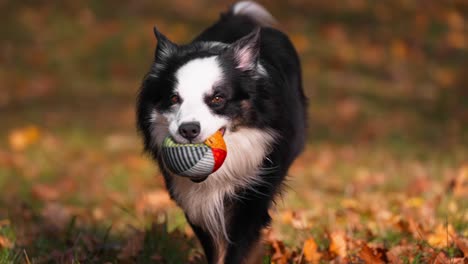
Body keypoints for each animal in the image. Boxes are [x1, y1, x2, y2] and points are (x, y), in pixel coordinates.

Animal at [137, 1, 308, 262]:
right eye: (174, 98)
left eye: (217, 98)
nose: (189, 130)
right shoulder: (192, 199)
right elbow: (214, 246)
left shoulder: (253, 195)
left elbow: (238, 249)